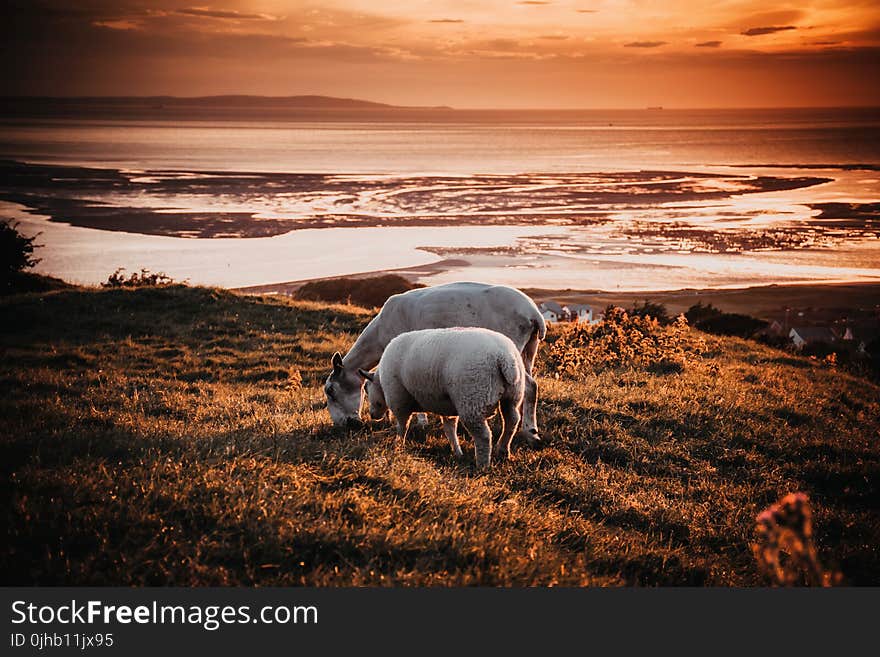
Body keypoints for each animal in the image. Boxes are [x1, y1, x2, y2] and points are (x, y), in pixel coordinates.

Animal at [356, 326, 524, 466]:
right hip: (512, 395)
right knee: (512, 421)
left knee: (483, 436)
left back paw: (482, 465)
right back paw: (503, 451)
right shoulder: (447, 406)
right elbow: (450, 429)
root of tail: (504, 357)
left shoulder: (399, 400)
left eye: (366, 389)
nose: (372, 415)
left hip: (472, 400)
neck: (381, 382)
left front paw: (398, 445)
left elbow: (402, 425)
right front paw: (457, 452)